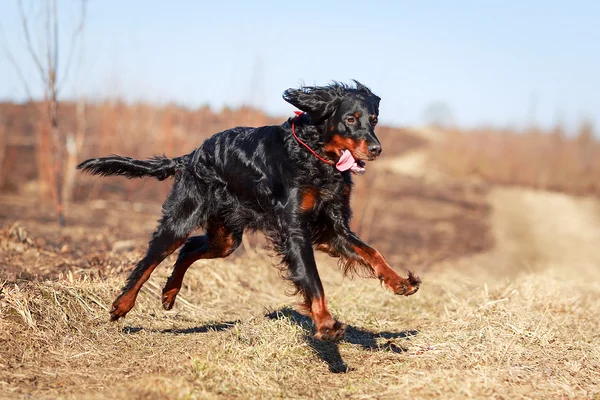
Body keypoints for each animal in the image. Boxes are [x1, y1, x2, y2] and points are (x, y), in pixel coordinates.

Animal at [77, 80, 420, 340]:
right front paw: (326, 324)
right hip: (182, 218)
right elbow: (313, 279)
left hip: (226, 237)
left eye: (373, 120)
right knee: (152, 259)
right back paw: (122, 305)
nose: (376, 149)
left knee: (189, 248)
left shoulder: (332, 227)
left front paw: (400, 282)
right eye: (350, 118)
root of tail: (191, 156)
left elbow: (372, 252)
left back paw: (170, 292)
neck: (314, 155)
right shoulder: (294, 229)